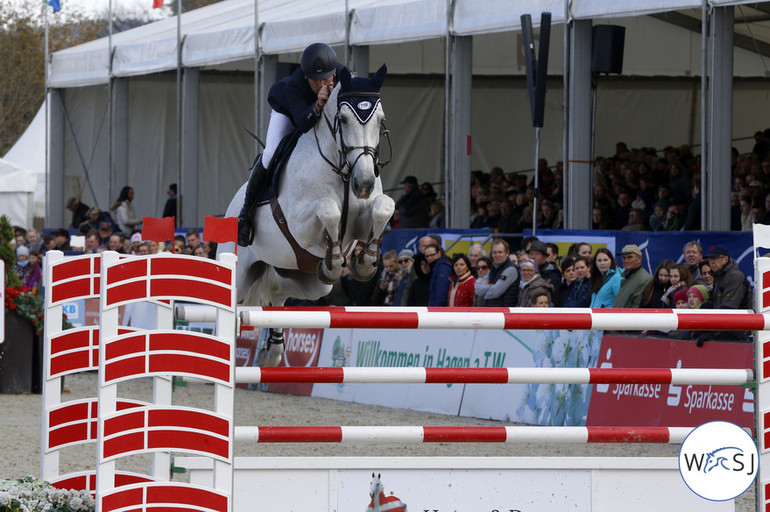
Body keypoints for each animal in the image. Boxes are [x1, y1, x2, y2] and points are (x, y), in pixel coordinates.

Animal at [218, 65, 392, 368]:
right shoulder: (301, 225)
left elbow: (385, 206)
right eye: (343, 119)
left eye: (380, 121)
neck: (344, 171)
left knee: (277, 292)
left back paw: (272, 351)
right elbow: (329, 210)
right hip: (239, 273)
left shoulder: (360, 223)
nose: (364, 184)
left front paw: (365, 262)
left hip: (310, 282)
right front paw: (337, 261)